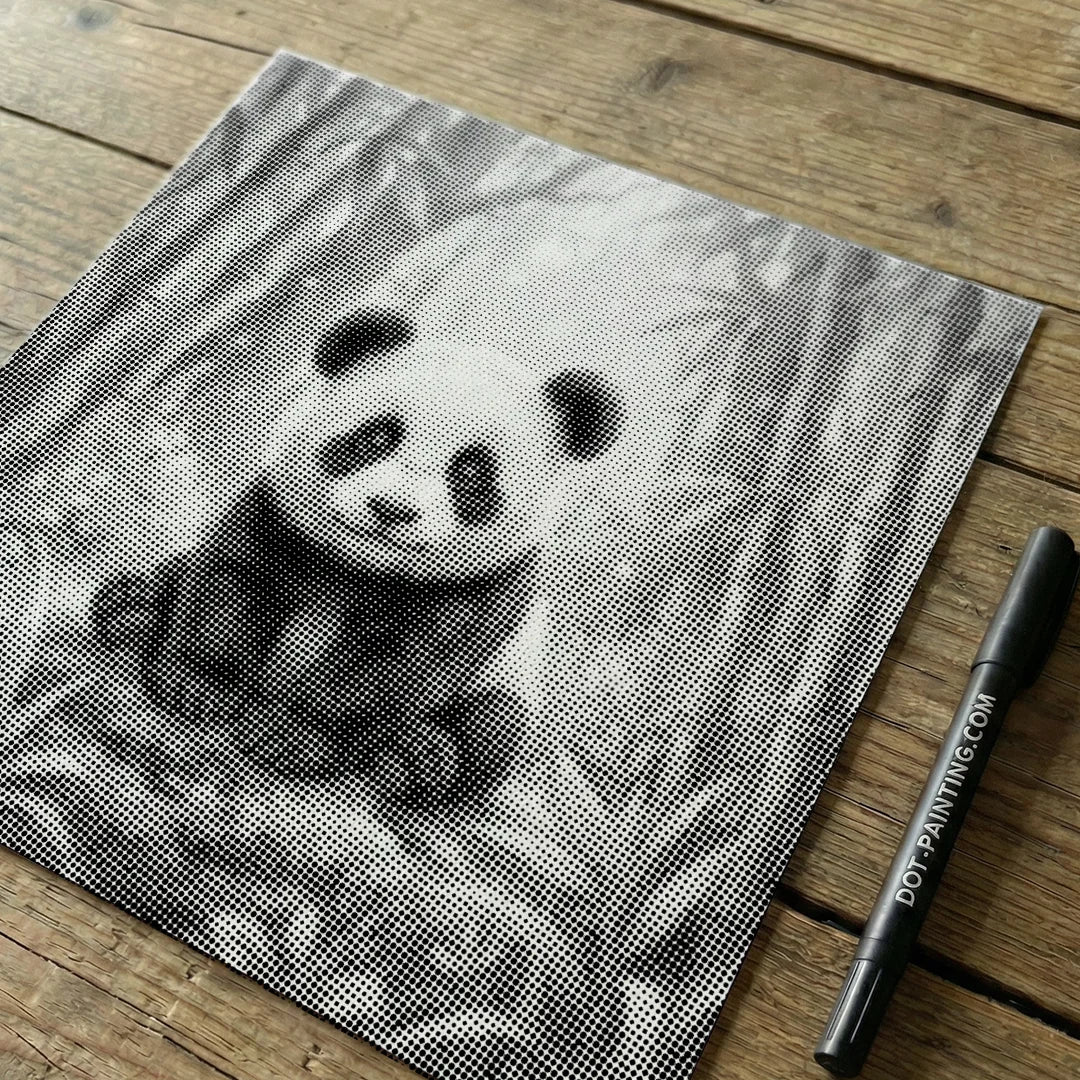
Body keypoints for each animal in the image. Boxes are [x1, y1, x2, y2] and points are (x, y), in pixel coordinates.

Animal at [91, 309, 622, 809]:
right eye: (376, 438)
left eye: (471, 475)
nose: (392, 508)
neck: (359, 565)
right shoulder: (273, 521)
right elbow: (229, 589)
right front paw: (200, 686)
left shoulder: (474, 595)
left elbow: (394, 671)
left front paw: (294, 736)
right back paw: (132, 609)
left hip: (505, 679)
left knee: (493, 722)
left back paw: (420, 761)